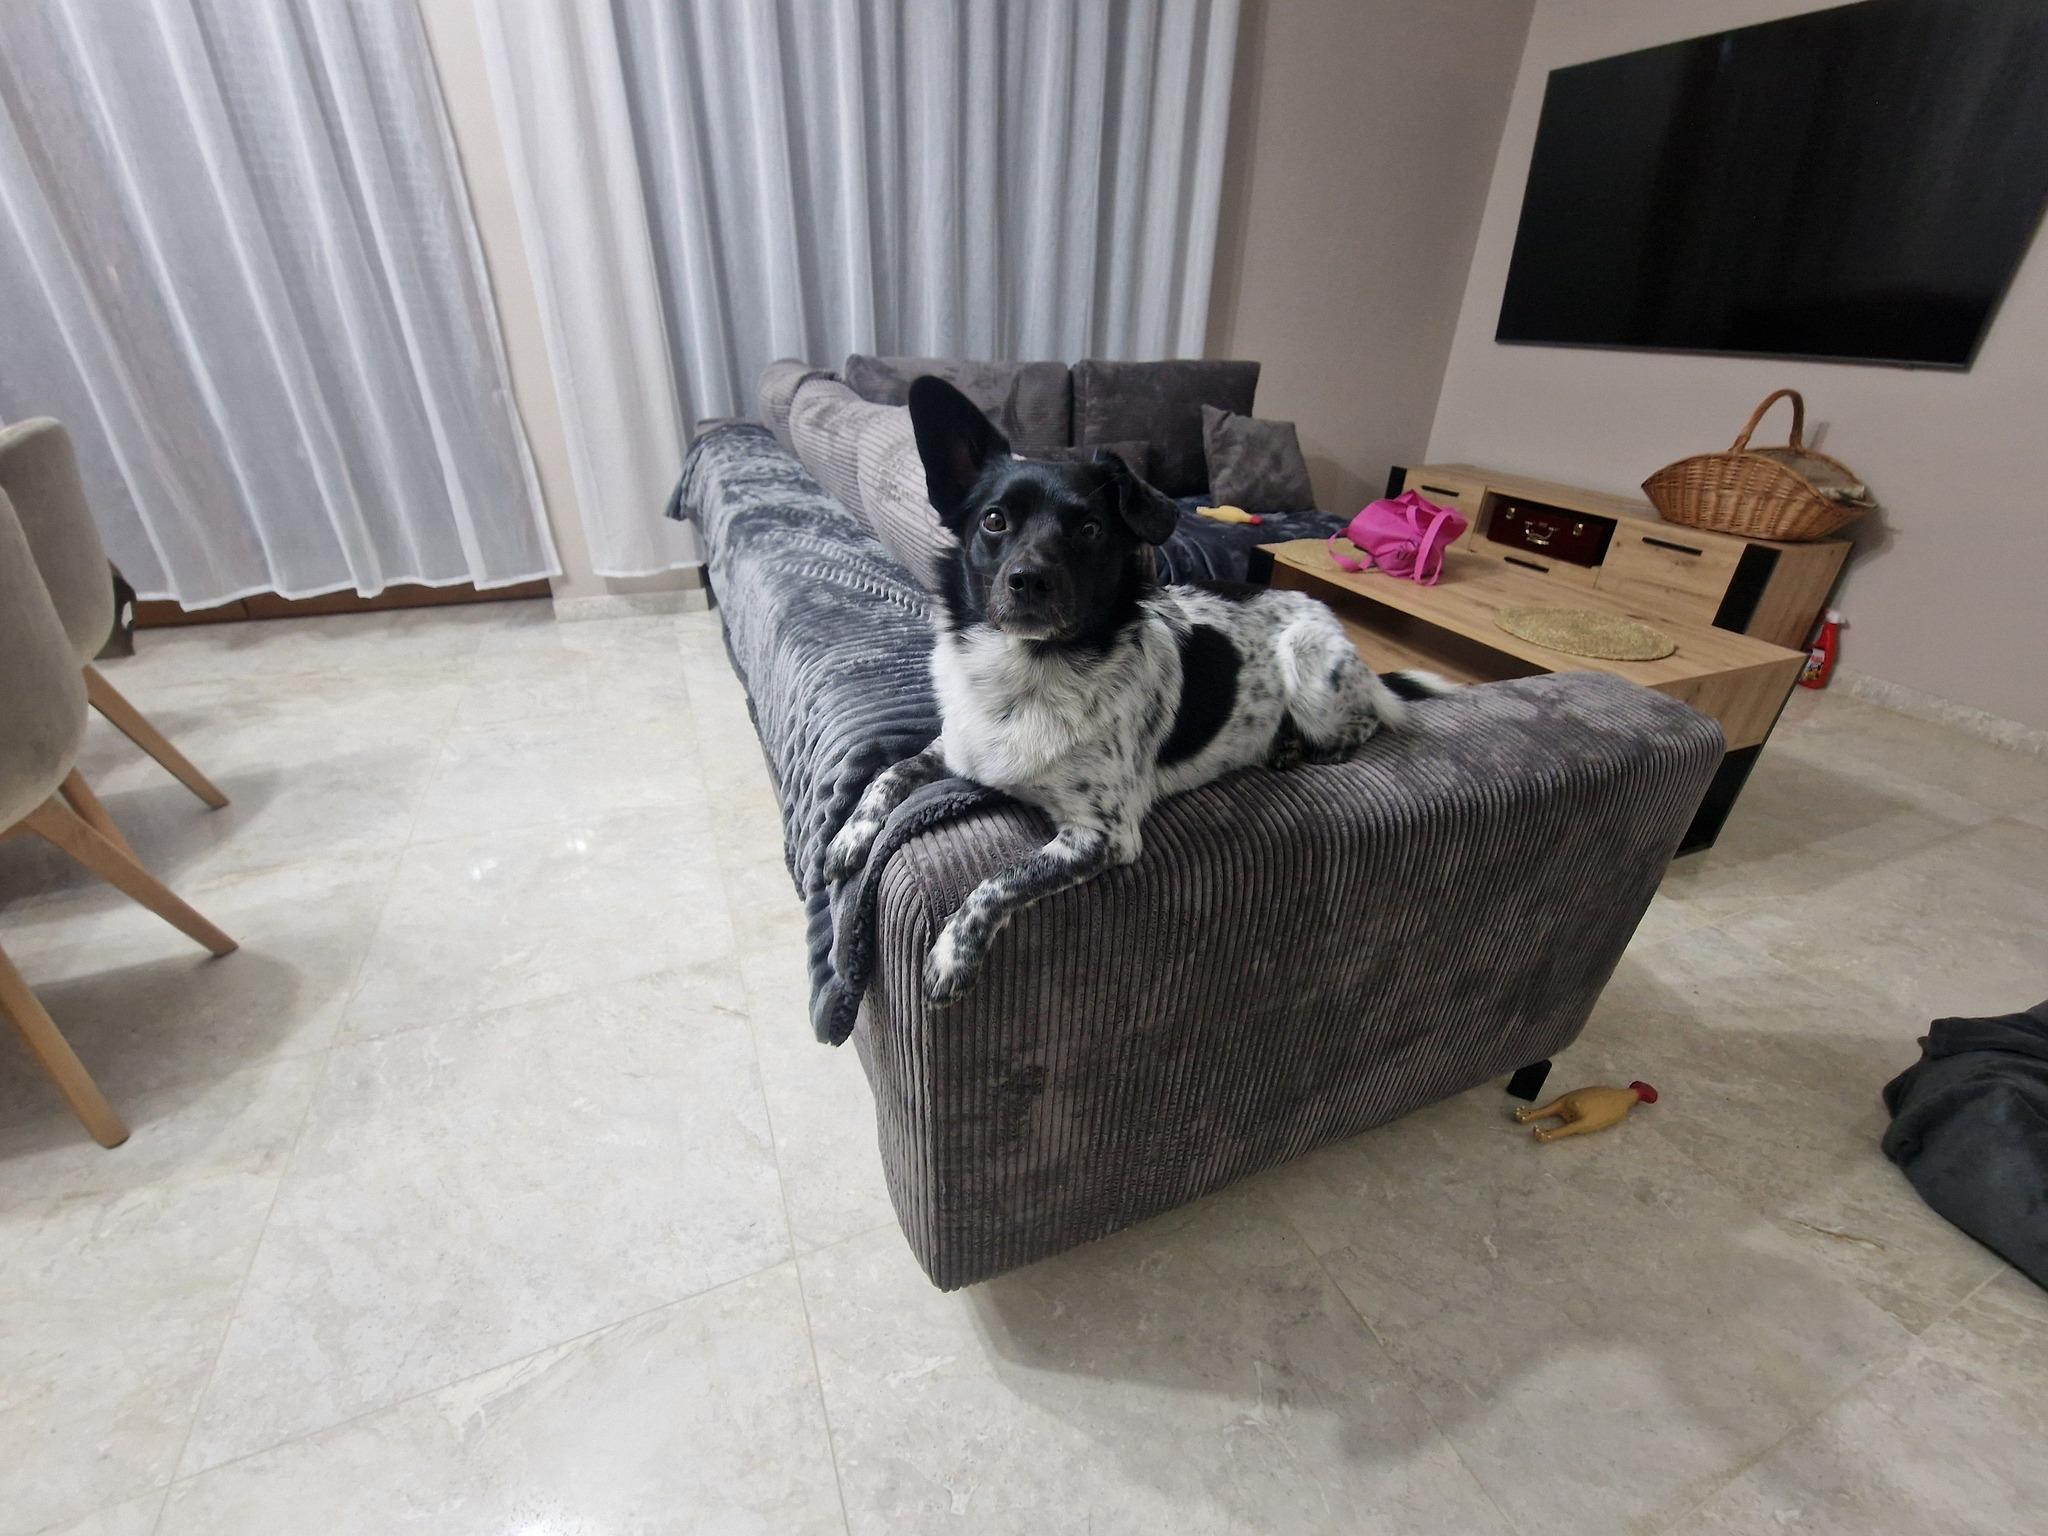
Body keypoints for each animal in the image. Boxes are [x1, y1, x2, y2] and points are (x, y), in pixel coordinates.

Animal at [824, 376, 1450, 1003]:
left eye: (1089, 530)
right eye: (994, 521)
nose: (1028, 580)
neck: (1030, 672)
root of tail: (1320, 610)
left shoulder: (1103, 833)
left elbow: (999, 879)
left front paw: (954, 950)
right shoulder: (954, 747)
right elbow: (890, 772)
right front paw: (850, 836)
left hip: (1311, 669)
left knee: (1369, 719)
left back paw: (1309, 746)